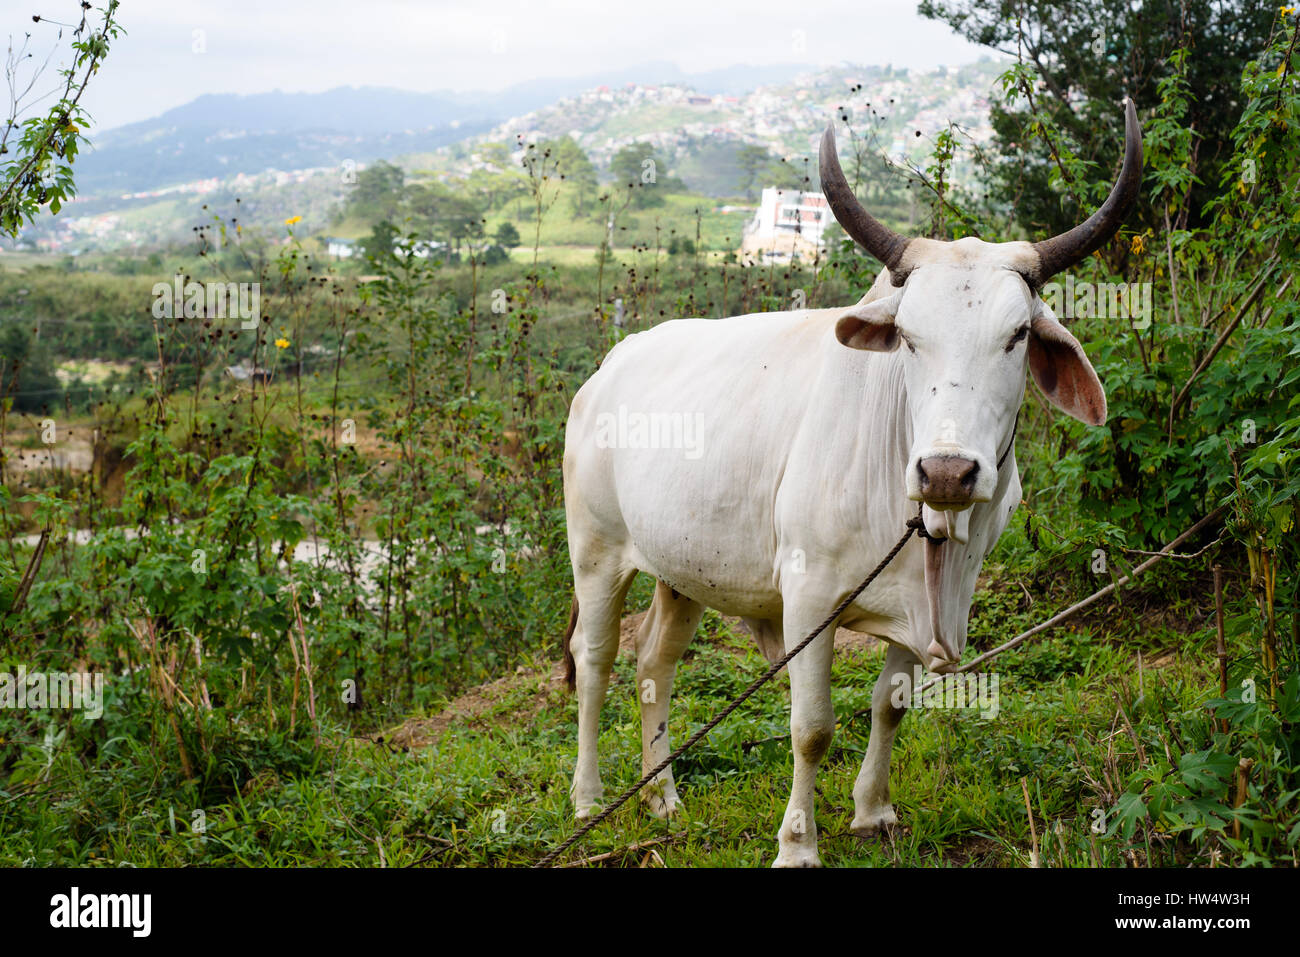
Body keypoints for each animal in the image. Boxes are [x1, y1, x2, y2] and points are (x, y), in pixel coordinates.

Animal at [560, 100, 1142, 867]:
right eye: (909, 336)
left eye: (1017, 334)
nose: (947, 471)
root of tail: (606, 370)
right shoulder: (808, 599)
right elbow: (811, 727)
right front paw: (797, 844)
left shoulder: (930, 597)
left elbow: (889, 703)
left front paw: (872, 811)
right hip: (596, 552)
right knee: (595, 660)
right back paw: (588, 796)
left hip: (682, 569)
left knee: (654, 660)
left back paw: (664, 799)